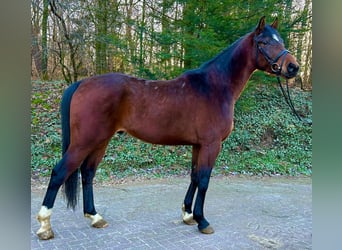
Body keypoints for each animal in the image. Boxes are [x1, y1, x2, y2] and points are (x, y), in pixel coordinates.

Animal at [36, 16, 300, 239]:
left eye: (282, 40)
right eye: (264, 42)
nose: (293, 67)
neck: (215, 87)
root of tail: (82, 83)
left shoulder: (198, 145)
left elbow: (194, 176)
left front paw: (188, 214)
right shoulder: (211, 145)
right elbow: (204, 179)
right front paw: (202, 221)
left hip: (101, 141)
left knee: (88, 173)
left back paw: (94, 217)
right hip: (84, 141)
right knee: (59, 172)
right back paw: (45, 226)